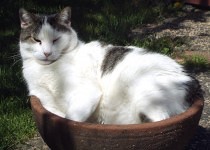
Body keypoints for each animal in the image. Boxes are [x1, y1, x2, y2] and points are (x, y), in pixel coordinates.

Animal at [19, 6, 202, 124]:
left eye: (56, 40)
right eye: (36, 40)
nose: (47, 53)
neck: (47, 70)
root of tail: (192, 81)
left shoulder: (87, 93)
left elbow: (70, 120)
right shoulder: (45, 102)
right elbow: (58, 116)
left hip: (148, 97)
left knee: (160, 121)